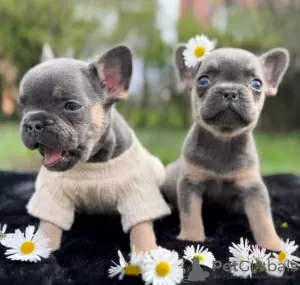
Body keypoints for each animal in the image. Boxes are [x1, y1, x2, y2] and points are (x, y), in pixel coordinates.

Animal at [18, 44, 171, 251]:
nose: (33, 122)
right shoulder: (53, 194)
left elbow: (141, 229)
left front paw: (146, 253)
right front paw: (41, 251)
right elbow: (48, 226)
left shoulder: (138, 192)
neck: (92, 161)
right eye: (22, 106)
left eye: (71, 106)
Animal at [162, 45, 290, 250]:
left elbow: (263, 219)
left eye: (257, 84)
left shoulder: (253, 187)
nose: (230, 91)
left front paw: (273, 244)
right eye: (203, 80)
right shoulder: (190, 183)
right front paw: (191, 238)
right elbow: (191, 215)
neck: (223, 141)